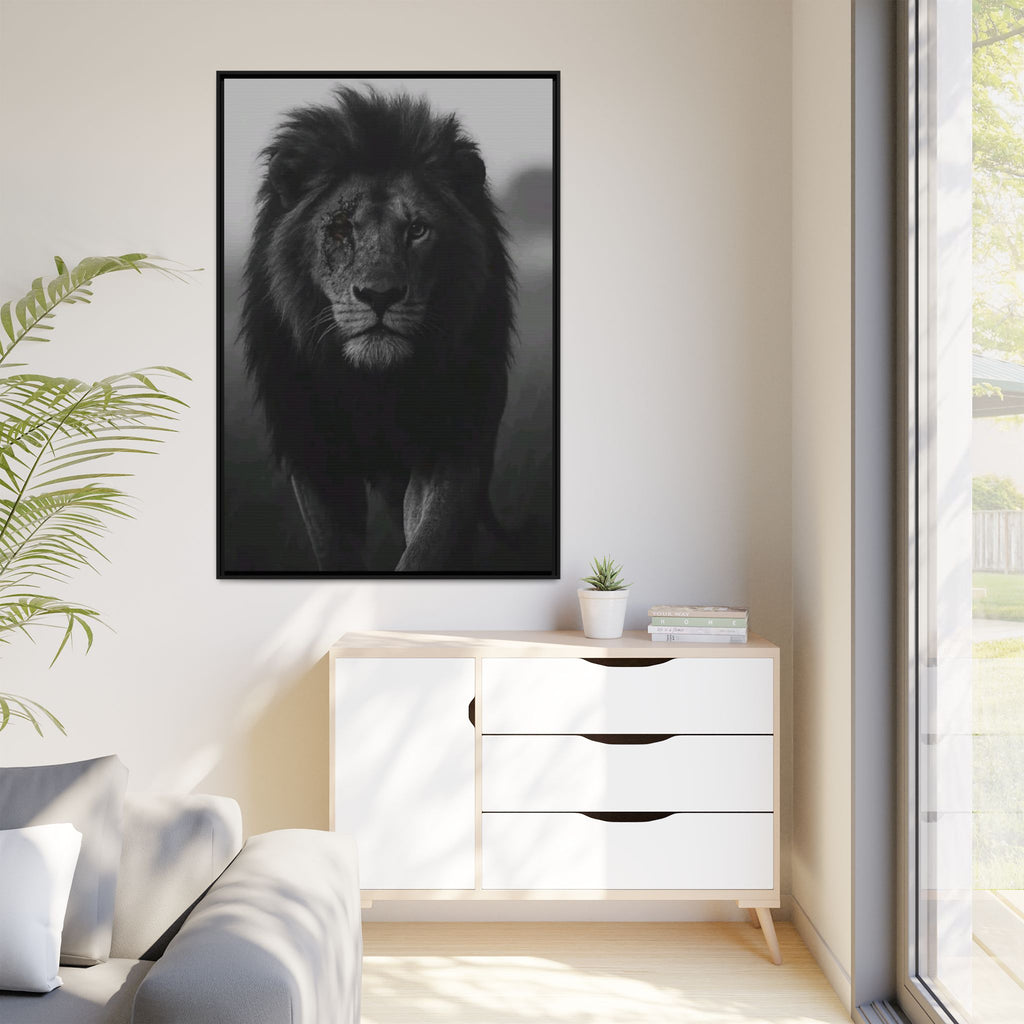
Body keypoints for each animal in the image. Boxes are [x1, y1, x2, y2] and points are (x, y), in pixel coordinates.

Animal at [240, 87, 514, 572]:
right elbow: (335, 550)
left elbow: (429, 542)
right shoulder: (314, 453)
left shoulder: (452, 443)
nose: (380, 295)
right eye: (340, 229)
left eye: (418, 230)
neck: (375, 386)